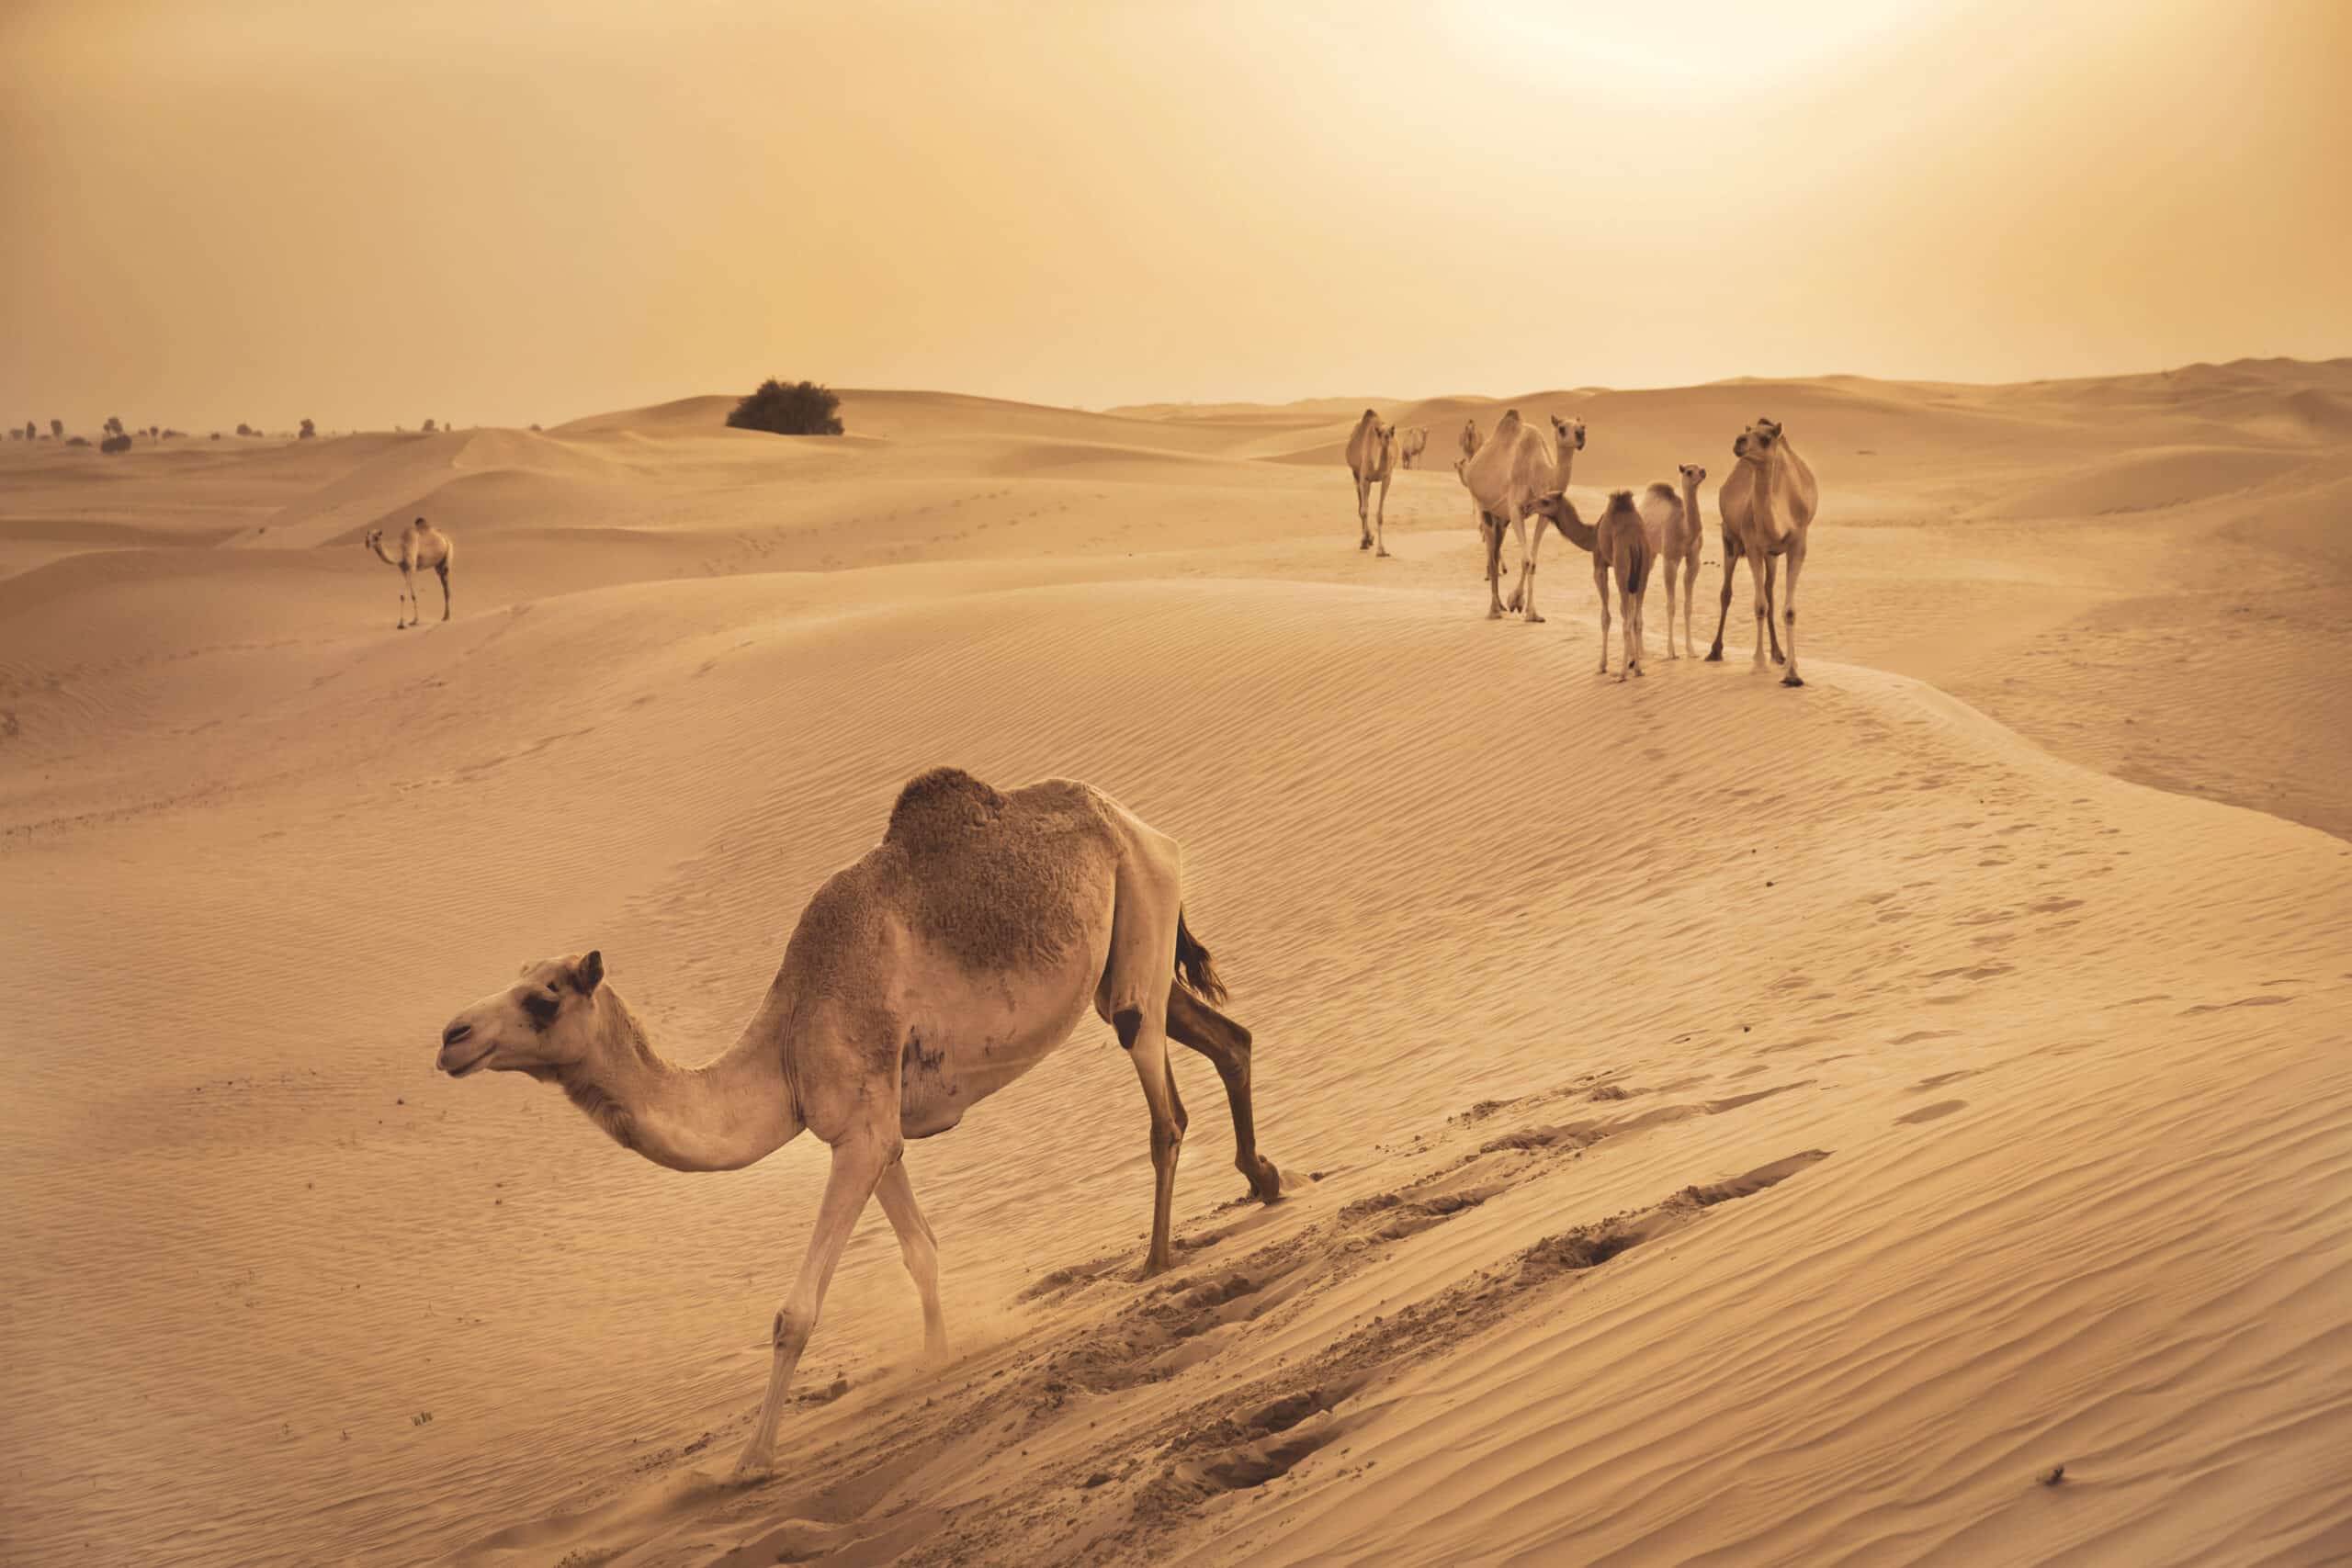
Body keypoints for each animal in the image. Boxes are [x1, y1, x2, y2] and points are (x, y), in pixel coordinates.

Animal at [442, 771, 1288, 1485]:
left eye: (544, 997)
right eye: (516, 979)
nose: (452, 1035)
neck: (785, 1044)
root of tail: (1133, 819)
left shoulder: (862, 1133)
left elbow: (795, 1313)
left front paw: (749, 1461)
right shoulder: (870, 1128)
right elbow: (922, 1253)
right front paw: (940, 1358)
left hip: (1140, 907)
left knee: (1164, 1107)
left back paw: (1156, 1259)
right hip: (1128, 947)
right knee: (1229, 1038)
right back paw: (1264, 1178)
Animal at [1345, 411, 1392, 557]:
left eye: (1392, 431)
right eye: (1379, 433)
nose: (1387, 437)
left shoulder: (1387, 477)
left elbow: (1379, 514)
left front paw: (1381, 550)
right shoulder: (1363, 477)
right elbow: (1363, 510)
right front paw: (1364, 541)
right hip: (1356, 475)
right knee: (1362, 506)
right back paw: (1366, 538)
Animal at [1646, 465, 1702, 662]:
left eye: (1700, 467)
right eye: (1688, 471)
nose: (1703, 472)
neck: (1685, 531)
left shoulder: (1694, 560)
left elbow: (1688, 606)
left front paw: (1692, 650)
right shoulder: (1670, 560)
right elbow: (1671, 606)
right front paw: (1671, 652)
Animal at [1712, 415, 1815, 686]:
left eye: (1766, 438)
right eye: (1749, 434)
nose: (1739, 441)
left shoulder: (1798, 543)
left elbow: (1788, 609)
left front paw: (1792, 672)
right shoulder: (1753, 545)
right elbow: (1759, 606)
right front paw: (1758, 665)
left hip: (1772, 556)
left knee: (1770, 592)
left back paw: (1778, 654)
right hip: (1730, 539)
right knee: (1726, 592)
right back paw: (1715, 651)